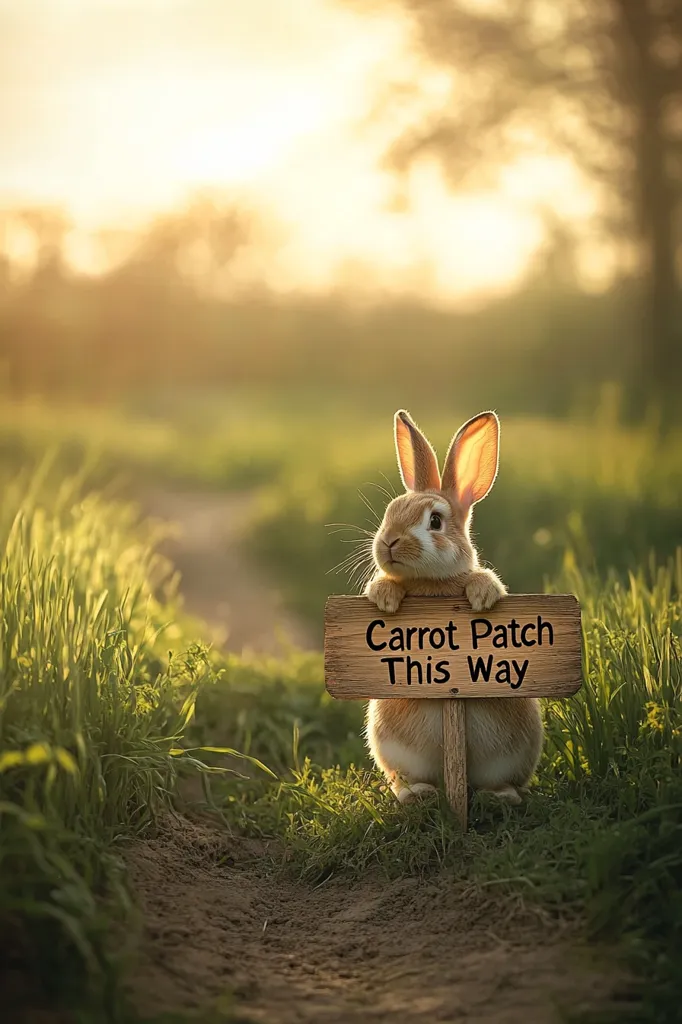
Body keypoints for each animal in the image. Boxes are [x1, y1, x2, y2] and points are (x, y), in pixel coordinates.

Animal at [364, 409, 543, 806]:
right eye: (390, 511)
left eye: (435, 521)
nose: (389, 542)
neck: (432, 585)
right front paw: (384, 598)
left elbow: (485, 582)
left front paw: (481, 597)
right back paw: (417, 795)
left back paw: (500, 797)